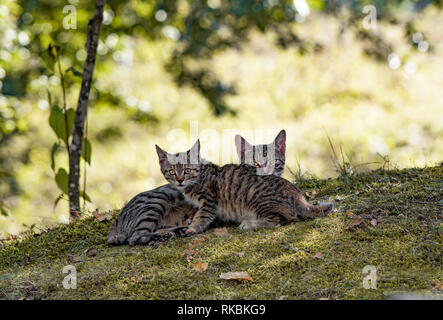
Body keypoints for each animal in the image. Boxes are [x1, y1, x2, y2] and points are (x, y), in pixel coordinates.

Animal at [107, 130, 288, 245]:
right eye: (255, 164)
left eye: (275, 163)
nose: (267, 174)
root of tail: (116, 223)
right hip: (156, 203)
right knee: (136, 236)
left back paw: (177, 229)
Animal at [156, 139, 332, 234]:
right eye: (171, 171)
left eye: (187, 170)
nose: (179, 180)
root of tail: (297, 195)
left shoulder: (209, 200)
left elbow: (202, 216)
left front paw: (192, 228)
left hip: (257, 202)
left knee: (281, 220)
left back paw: (249, 224)